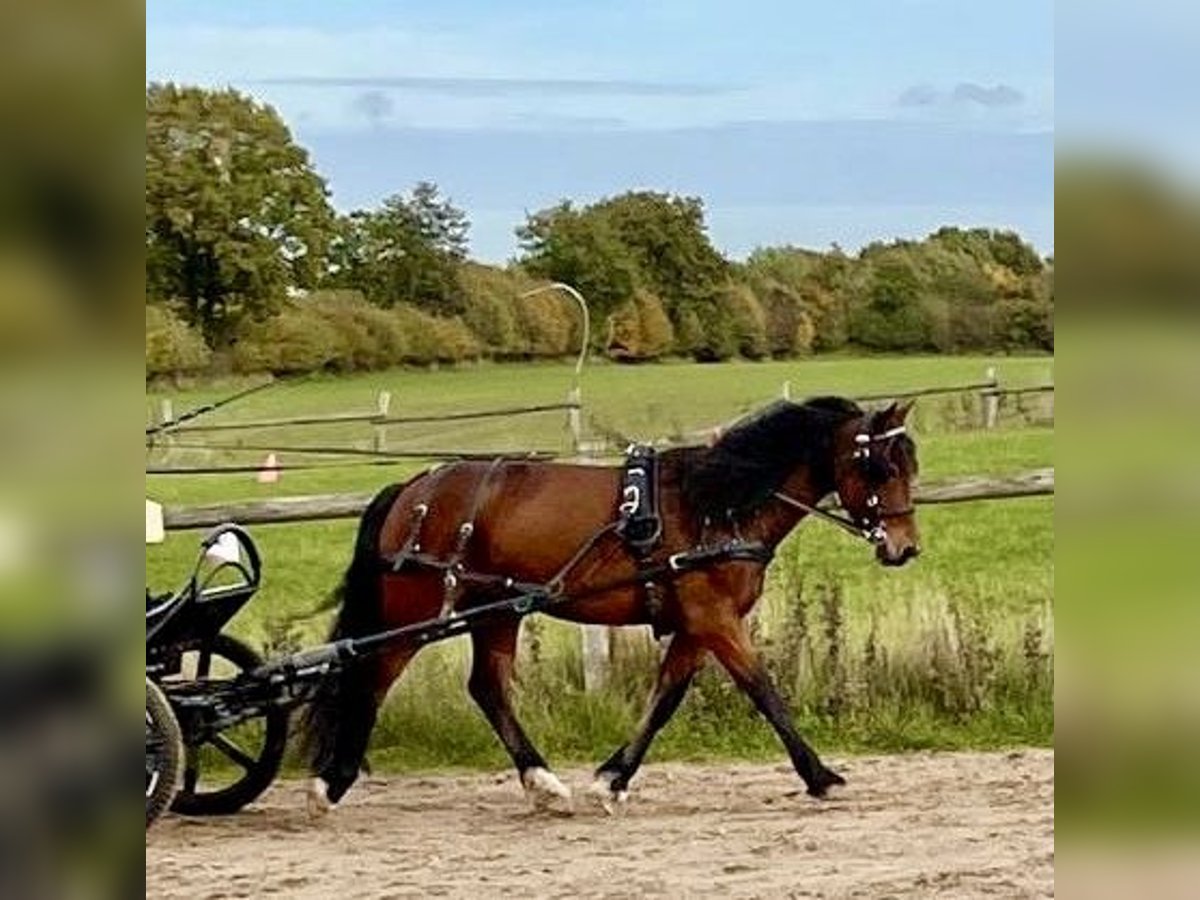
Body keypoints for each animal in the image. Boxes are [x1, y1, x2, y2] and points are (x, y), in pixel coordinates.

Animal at [302, 398, 916, 816]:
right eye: (881, 467)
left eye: (909, 465)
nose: (905, 548)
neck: (714, 506)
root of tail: (413, 488)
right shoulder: (714, 619)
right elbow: (763, 690)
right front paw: (821, 775)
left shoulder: (694, 625)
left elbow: (665, 698)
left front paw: (613, 777)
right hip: (415, 612)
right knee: (372, 678)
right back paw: (331, 782)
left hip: (497, 610)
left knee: (486, 687)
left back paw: (542, 782)